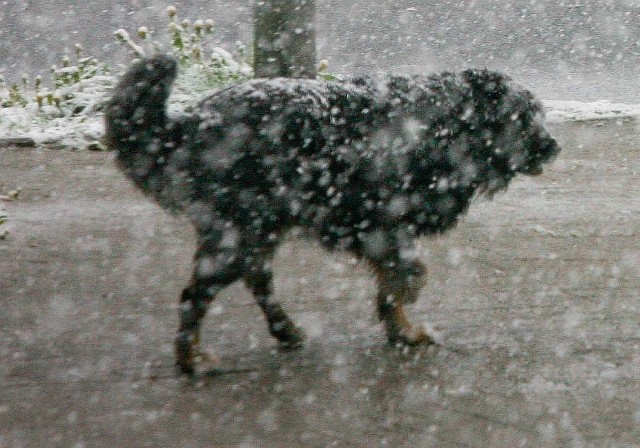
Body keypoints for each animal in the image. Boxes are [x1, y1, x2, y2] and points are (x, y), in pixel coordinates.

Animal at [105, 54, 560, 372]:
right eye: (524, 118)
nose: (554, 147)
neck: (447, 126)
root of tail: (191, 123)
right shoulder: (383, 224)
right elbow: (408, 276)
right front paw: (406, 326)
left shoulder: (382, 230)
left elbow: (393, 284)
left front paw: (399, 331)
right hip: (241, 230)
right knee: (196, 295)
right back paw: (191, 358)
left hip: (258, 229)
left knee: (257, 279)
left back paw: (285, 331)